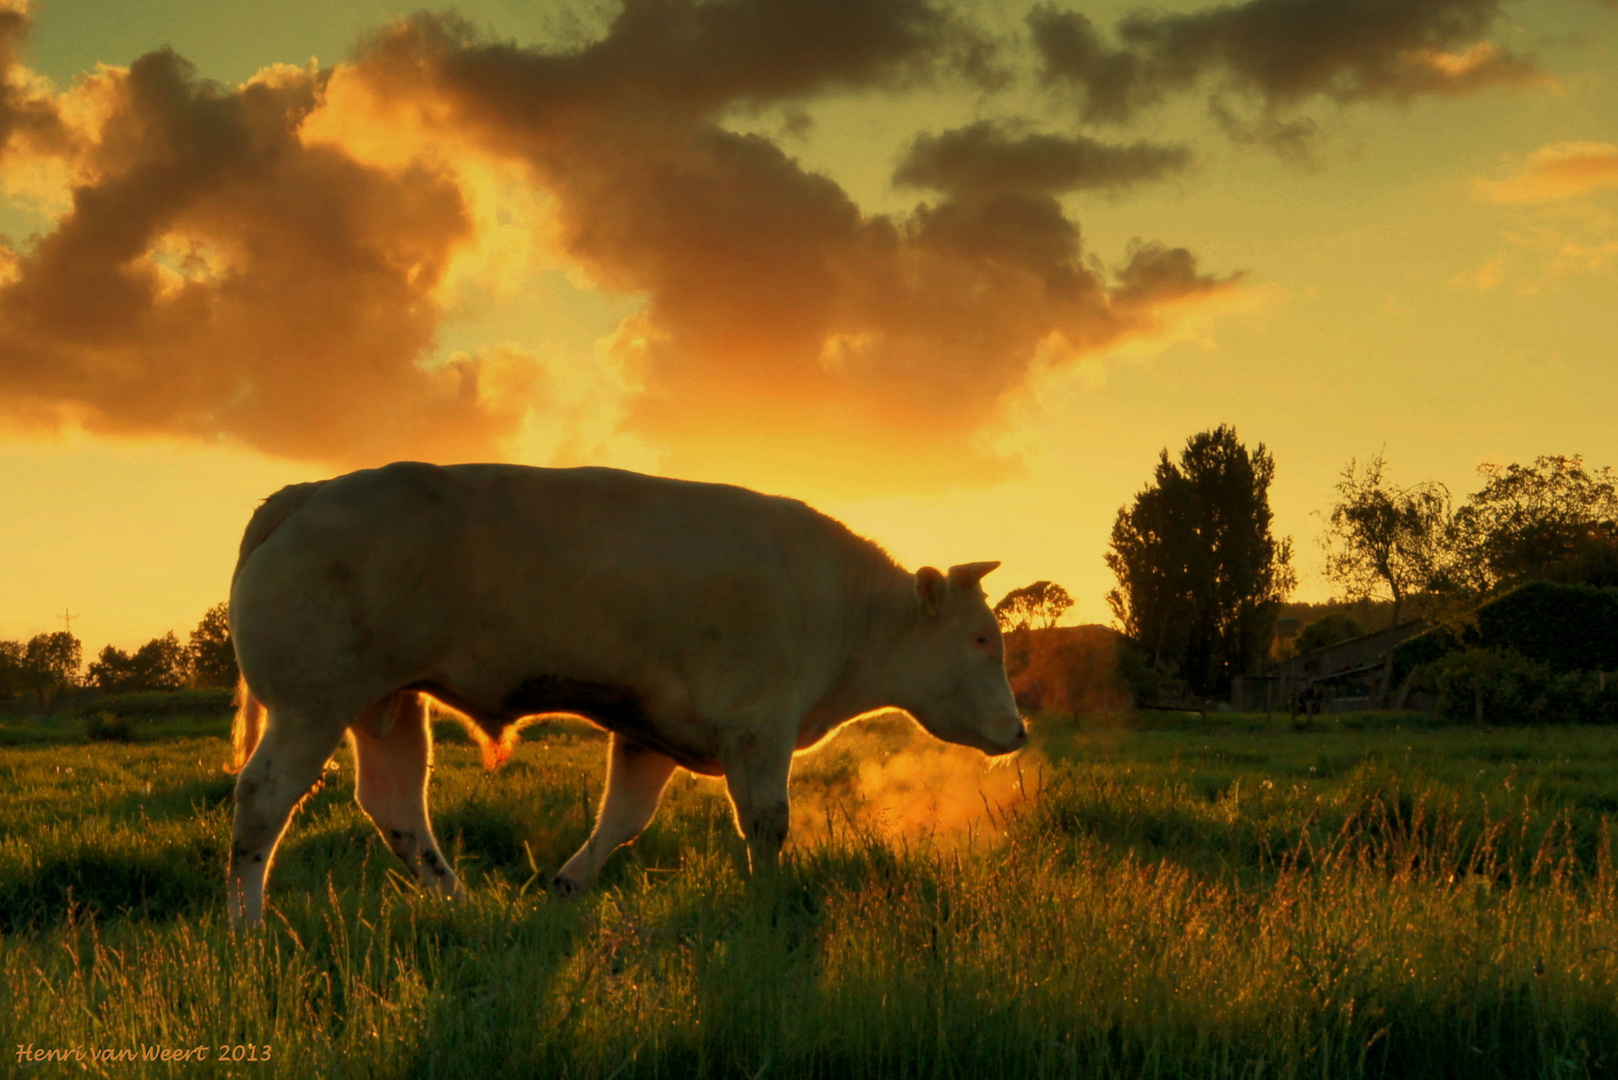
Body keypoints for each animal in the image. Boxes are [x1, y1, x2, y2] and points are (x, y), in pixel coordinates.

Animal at [224, 459, 1022, 926]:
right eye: (983, 638)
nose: (1019, 732)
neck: (835, 600)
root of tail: (308, 492)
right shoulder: (758, 727)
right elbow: (767, 822)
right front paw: (768, 902)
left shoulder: (651, 732)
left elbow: (624, 819)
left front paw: (567, 887)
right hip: (311, 706)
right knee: (263, 799)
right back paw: (247, 926)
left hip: (384, 705)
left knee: (394, 805)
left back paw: (461, 903)